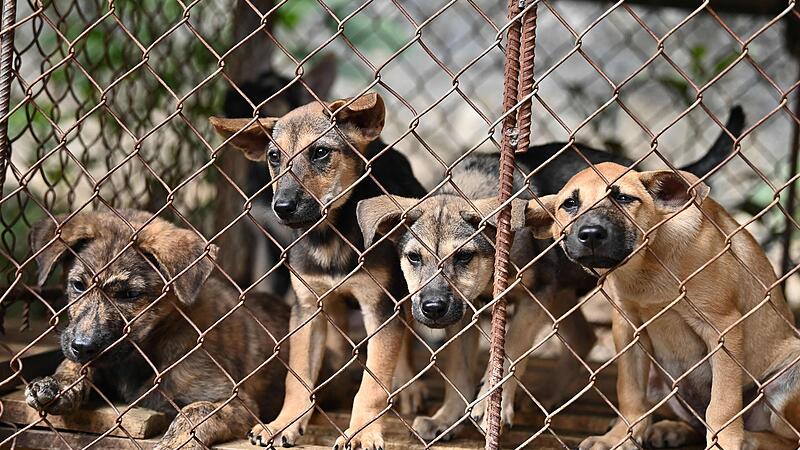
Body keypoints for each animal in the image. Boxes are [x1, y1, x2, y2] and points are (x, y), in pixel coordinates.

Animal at [23, 211, 290, 450]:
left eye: (130, 294)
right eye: (78, 285)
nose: (82, 347)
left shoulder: (238, 402)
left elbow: (195, 411)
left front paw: (173, 444)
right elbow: (77, 366)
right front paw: (56, 383)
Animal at [209, 92, 428, 450]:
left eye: (321, 152)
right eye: (273, 156)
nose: (282, 207)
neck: (329, 236)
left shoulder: (380, 306)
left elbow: (374, 381)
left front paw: (362, 432)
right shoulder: (308, 307)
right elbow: (297, 377)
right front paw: (283, 424)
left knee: (405, 340)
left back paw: (408, 386)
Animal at [524, 162, 800, 450]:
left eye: (624, 198)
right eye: (569, 204)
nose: (590, 234)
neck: (647, 263)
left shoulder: (724, 328)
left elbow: (723, 403)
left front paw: (723, 443)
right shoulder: (628, 329)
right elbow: (630, 392)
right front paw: (619, 437)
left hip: (789, 378)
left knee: (787, 439)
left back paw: (749, 439)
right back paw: (671, 428)